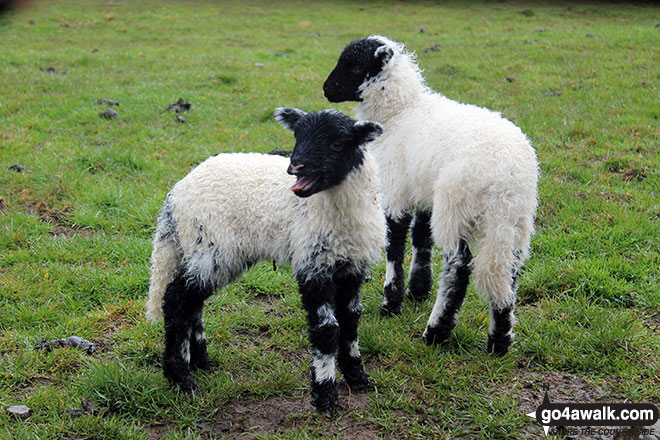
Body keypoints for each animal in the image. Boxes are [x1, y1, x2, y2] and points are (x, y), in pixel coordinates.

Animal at [144, 108, 386, 414]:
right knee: (176, 298)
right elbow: (326, 329)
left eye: (337, 143)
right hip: (212, 245)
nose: (296, 167)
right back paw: (181, 377)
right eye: (297, 136)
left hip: (211, 252)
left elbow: (352, 319)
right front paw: (326, 394)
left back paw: (201, 362)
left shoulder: (352, 266)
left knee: (192, 302)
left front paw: (357, 374)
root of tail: (175, 195)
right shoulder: (312, 264)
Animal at [322, 36, 540, 356]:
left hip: (456, 204)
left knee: (458, 268)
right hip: (515, 219)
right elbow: (421, 238)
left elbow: (395, 245)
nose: (326, 89)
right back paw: (498, 341)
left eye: (355, 66)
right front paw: (418, 289)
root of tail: (504, 176)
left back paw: (436, 331)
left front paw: (392, 301)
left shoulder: (396, 189)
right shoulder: (423, 191)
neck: (401, 111)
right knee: (506, 271)